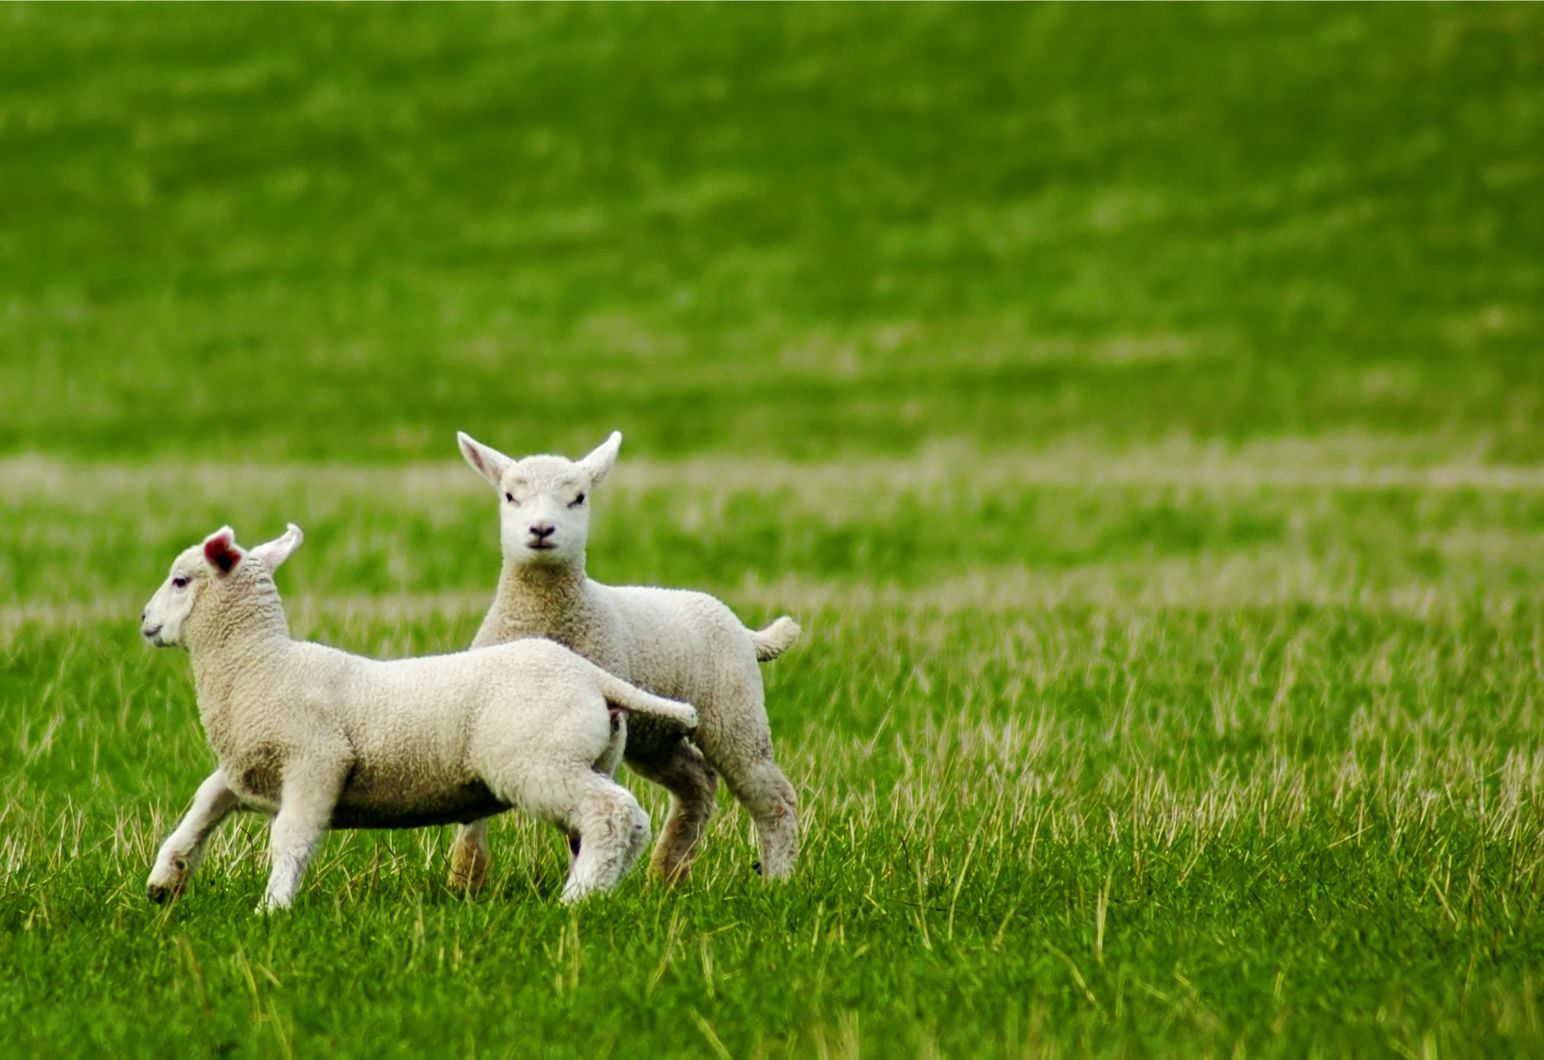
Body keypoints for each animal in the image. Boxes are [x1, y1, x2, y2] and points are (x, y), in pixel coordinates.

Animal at [140, 523, 699, 911]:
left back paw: (576, 900)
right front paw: (165, 879)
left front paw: (272, 908)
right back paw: (603, 890)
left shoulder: (316, 761)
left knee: (611, 813)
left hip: (539, 760)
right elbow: (203, 806)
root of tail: (593, 676)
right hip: (589, 757)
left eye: (180, 580)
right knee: (626, 821)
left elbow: (291, 838)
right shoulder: (247, 768)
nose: (144, 621)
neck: (257, 665)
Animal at [447, 430, 801, 893]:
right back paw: (667, 873)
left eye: (579, 498)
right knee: (698, 781)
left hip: (733, 713)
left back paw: (779, 879)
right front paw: (464, 881)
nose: (541, 530)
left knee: (772, 796)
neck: (545, 612)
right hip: (657, 734)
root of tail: (742, 629)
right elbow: (472, 814)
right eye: (509, 495)